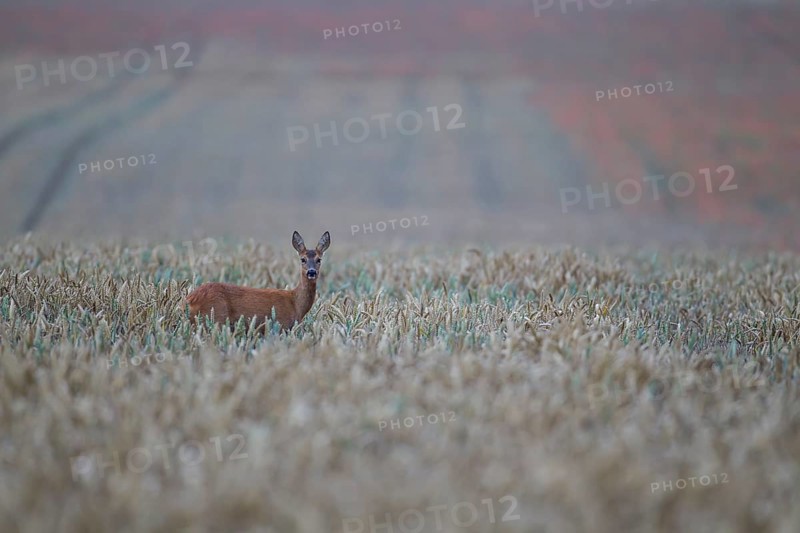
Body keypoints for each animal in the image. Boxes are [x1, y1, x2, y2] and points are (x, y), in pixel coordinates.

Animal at [185, 231, 330, 332]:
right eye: (303, 259)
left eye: (319, 259)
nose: (311, 272)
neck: (296, 304)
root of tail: (189, 299)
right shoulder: (281, 325)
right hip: (216, 319)